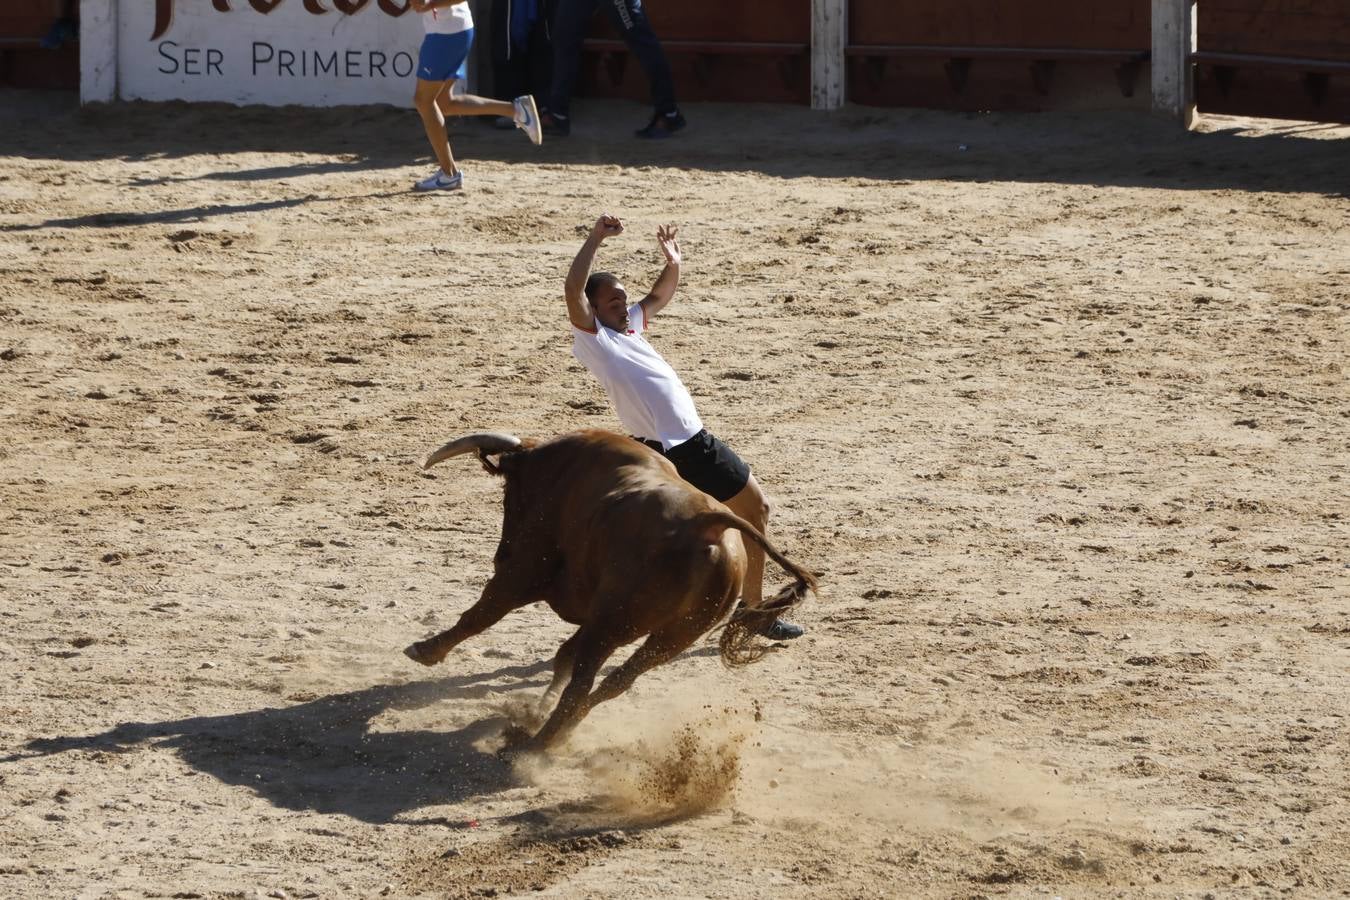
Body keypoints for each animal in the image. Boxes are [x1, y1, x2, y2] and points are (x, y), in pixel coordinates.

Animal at [405, 429, 815, 755]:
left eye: (510, 493)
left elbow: (482, 614)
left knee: (582, 681)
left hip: (610, 623)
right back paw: (551, 731)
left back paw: (535, 743)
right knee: (614, 681)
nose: (499, 554)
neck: (556, 470)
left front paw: (425, 649)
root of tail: (708, 524)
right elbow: (563, 655)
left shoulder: (527, 570)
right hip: (669, 636)